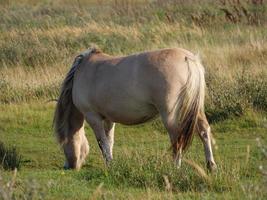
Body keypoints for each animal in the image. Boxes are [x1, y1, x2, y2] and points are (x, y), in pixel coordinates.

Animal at [52, 46, 218, 171]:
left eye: (62, 144)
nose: (68, 166)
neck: (84, 70)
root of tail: (188, 58)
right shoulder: (108, 119)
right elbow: (109, 141)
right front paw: (111, 163)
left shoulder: (93, 117)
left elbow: (102, 142)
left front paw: (109, 164)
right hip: (196, 110)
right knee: (204, 131)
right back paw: (211, 165)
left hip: (170, 115)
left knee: (177, 139)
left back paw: (175, 167)